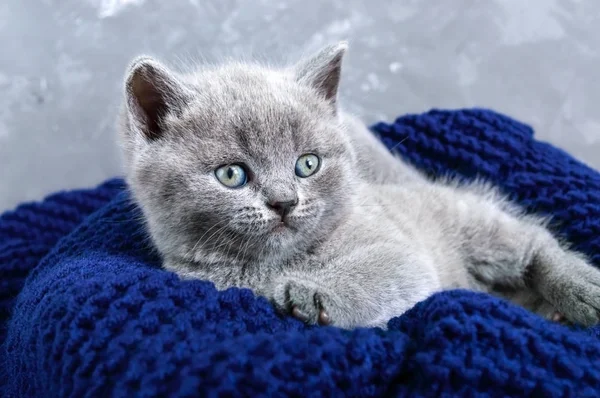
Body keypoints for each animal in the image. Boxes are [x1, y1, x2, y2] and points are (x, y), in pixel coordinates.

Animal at [119, 42, 600, 330]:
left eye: (307, 164)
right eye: (232, 175)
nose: (284, 202)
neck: (273, 266)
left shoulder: (399, 250)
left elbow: (379, 271)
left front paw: (315, 293)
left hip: (475, 227)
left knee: (534, 243)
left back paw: (581, 292)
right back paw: (549, 312)